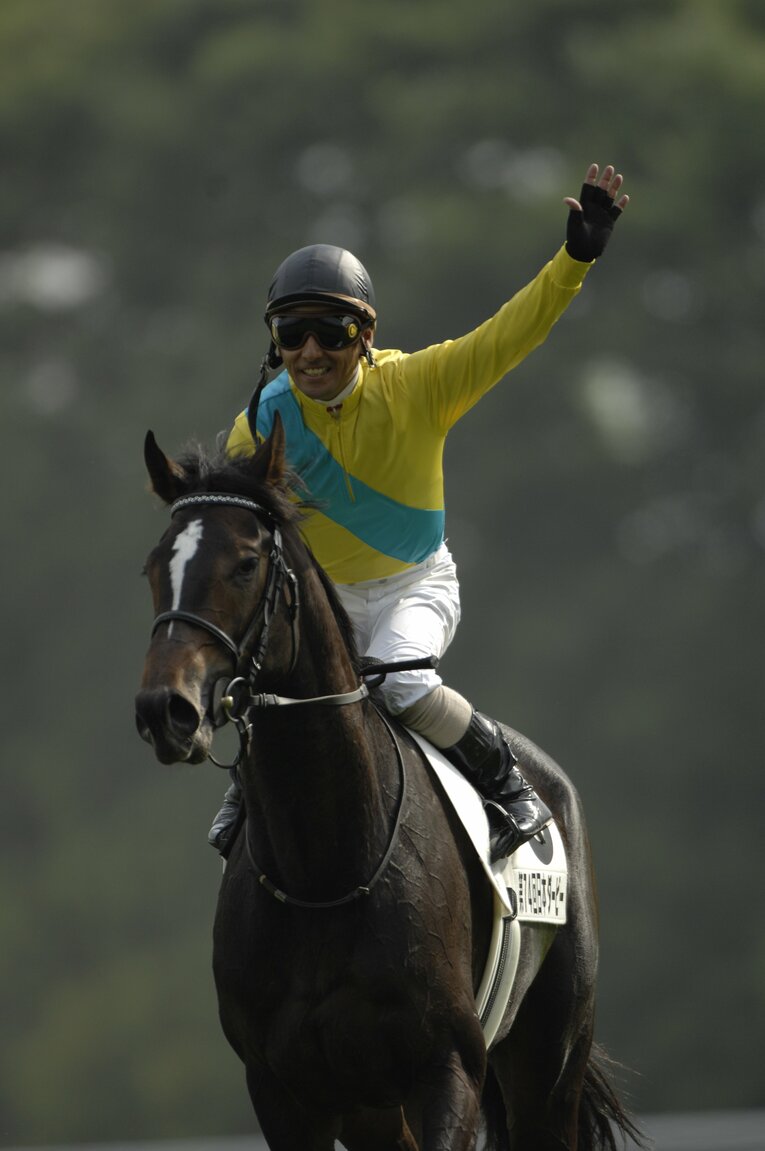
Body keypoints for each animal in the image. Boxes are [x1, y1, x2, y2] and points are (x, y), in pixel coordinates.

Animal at [135, 417, 641, 1151]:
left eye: (246, 562)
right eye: (154, 567)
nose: (164, 709)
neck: (325, 868)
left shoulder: (448, 1067)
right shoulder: (284, 1089)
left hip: (549, 1066)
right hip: (375, 1109)